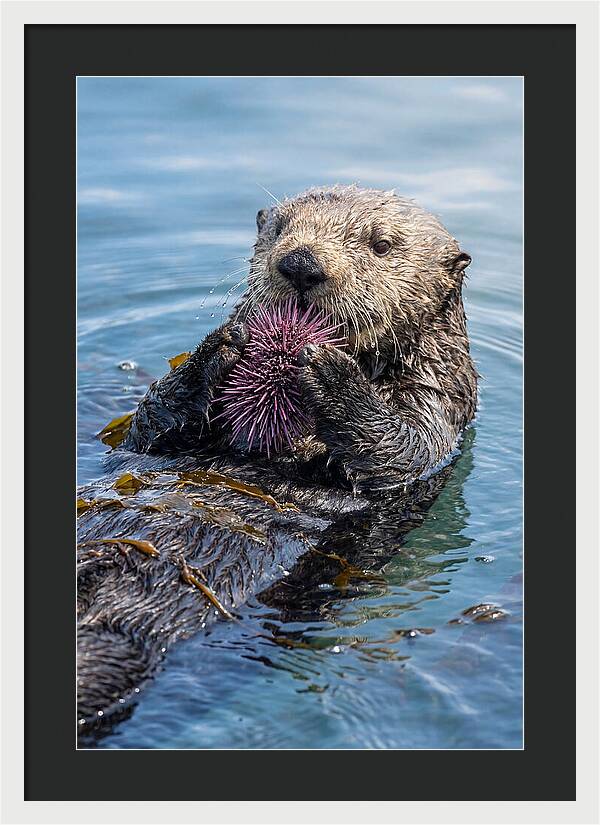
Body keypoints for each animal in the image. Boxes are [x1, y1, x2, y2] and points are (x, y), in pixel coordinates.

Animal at [77, 185, 477, 741]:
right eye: (280, 228)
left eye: (381, 245)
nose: (301, 263)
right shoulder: (150, 440)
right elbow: (147, 428)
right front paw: (219, 347)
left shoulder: (439, 405)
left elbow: (402, 450)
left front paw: (331, 374)